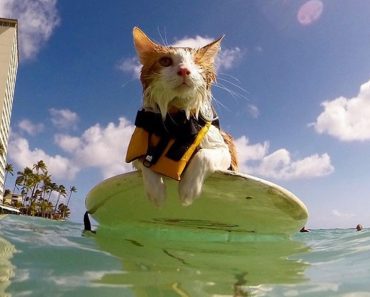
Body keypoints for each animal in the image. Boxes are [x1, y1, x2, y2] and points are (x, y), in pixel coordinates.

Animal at [126, 27, 237, 206]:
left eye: (196, 63)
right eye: (165, 61)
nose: (184, 70)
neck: (177, 120)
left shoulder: (224, 151)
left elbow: (203, 155)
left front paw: (188, 189)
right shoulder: (135, 153)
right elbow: (144, 160)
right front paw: (156, 192)